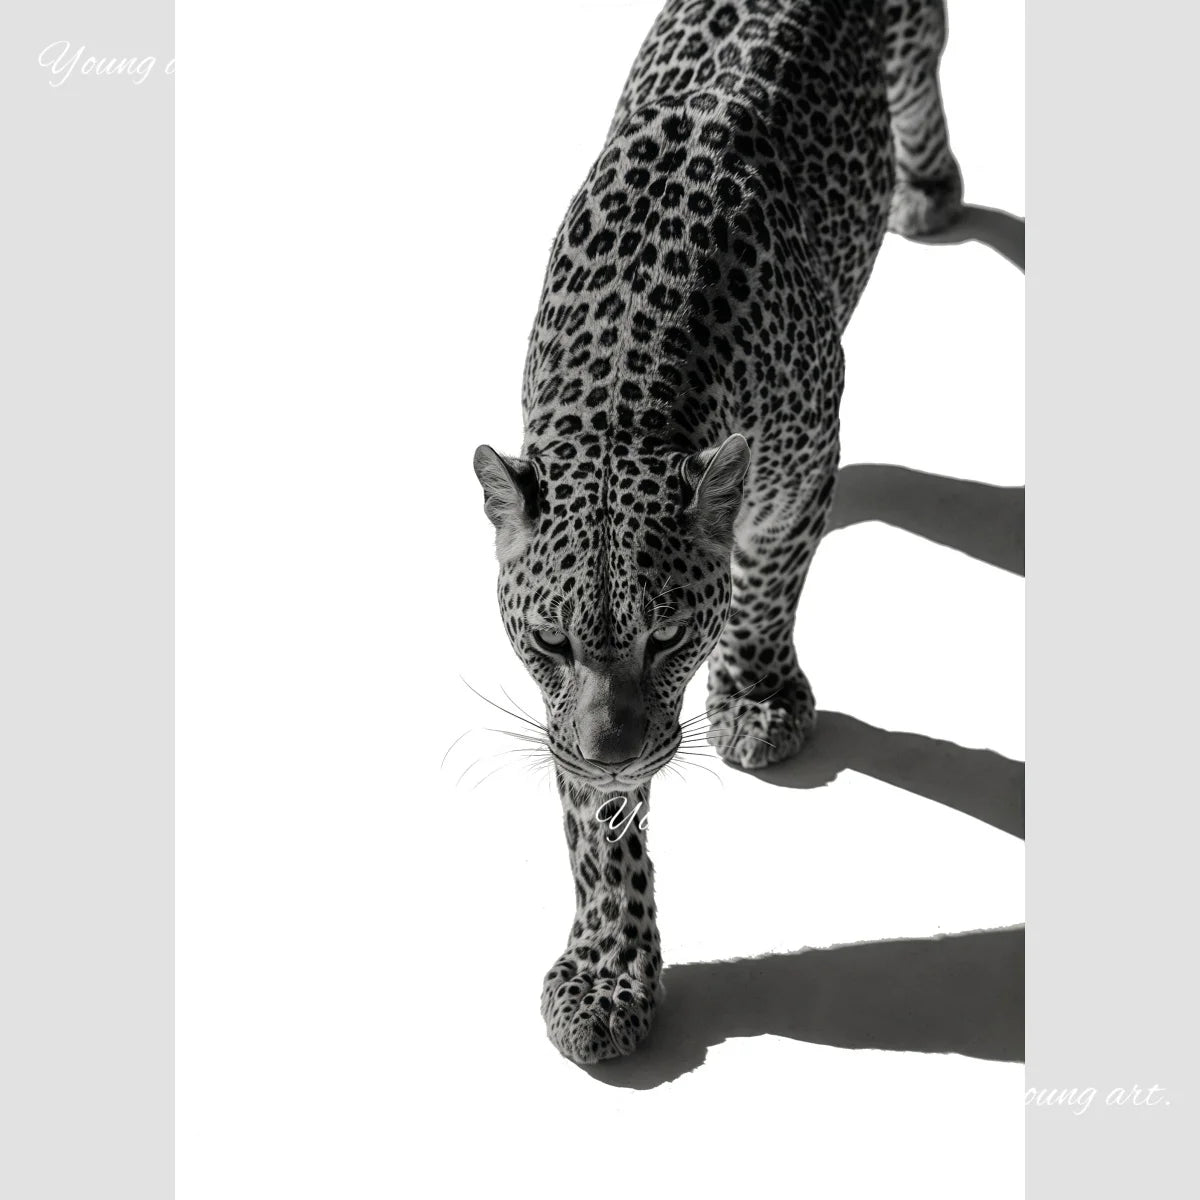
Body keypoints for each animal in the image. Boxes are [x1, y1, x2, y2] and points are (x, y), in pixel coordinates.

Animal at [472, 0, 964, 1064]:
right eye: (550, 642)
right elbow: (597, 827)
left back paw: (928, 190)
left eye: (667, 638)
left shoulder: (799, 467)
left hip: (909, 50)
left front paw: (757, 701)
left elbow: (765, 586)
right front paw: (607, 976)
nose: (614, 750)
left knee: (921, 74)